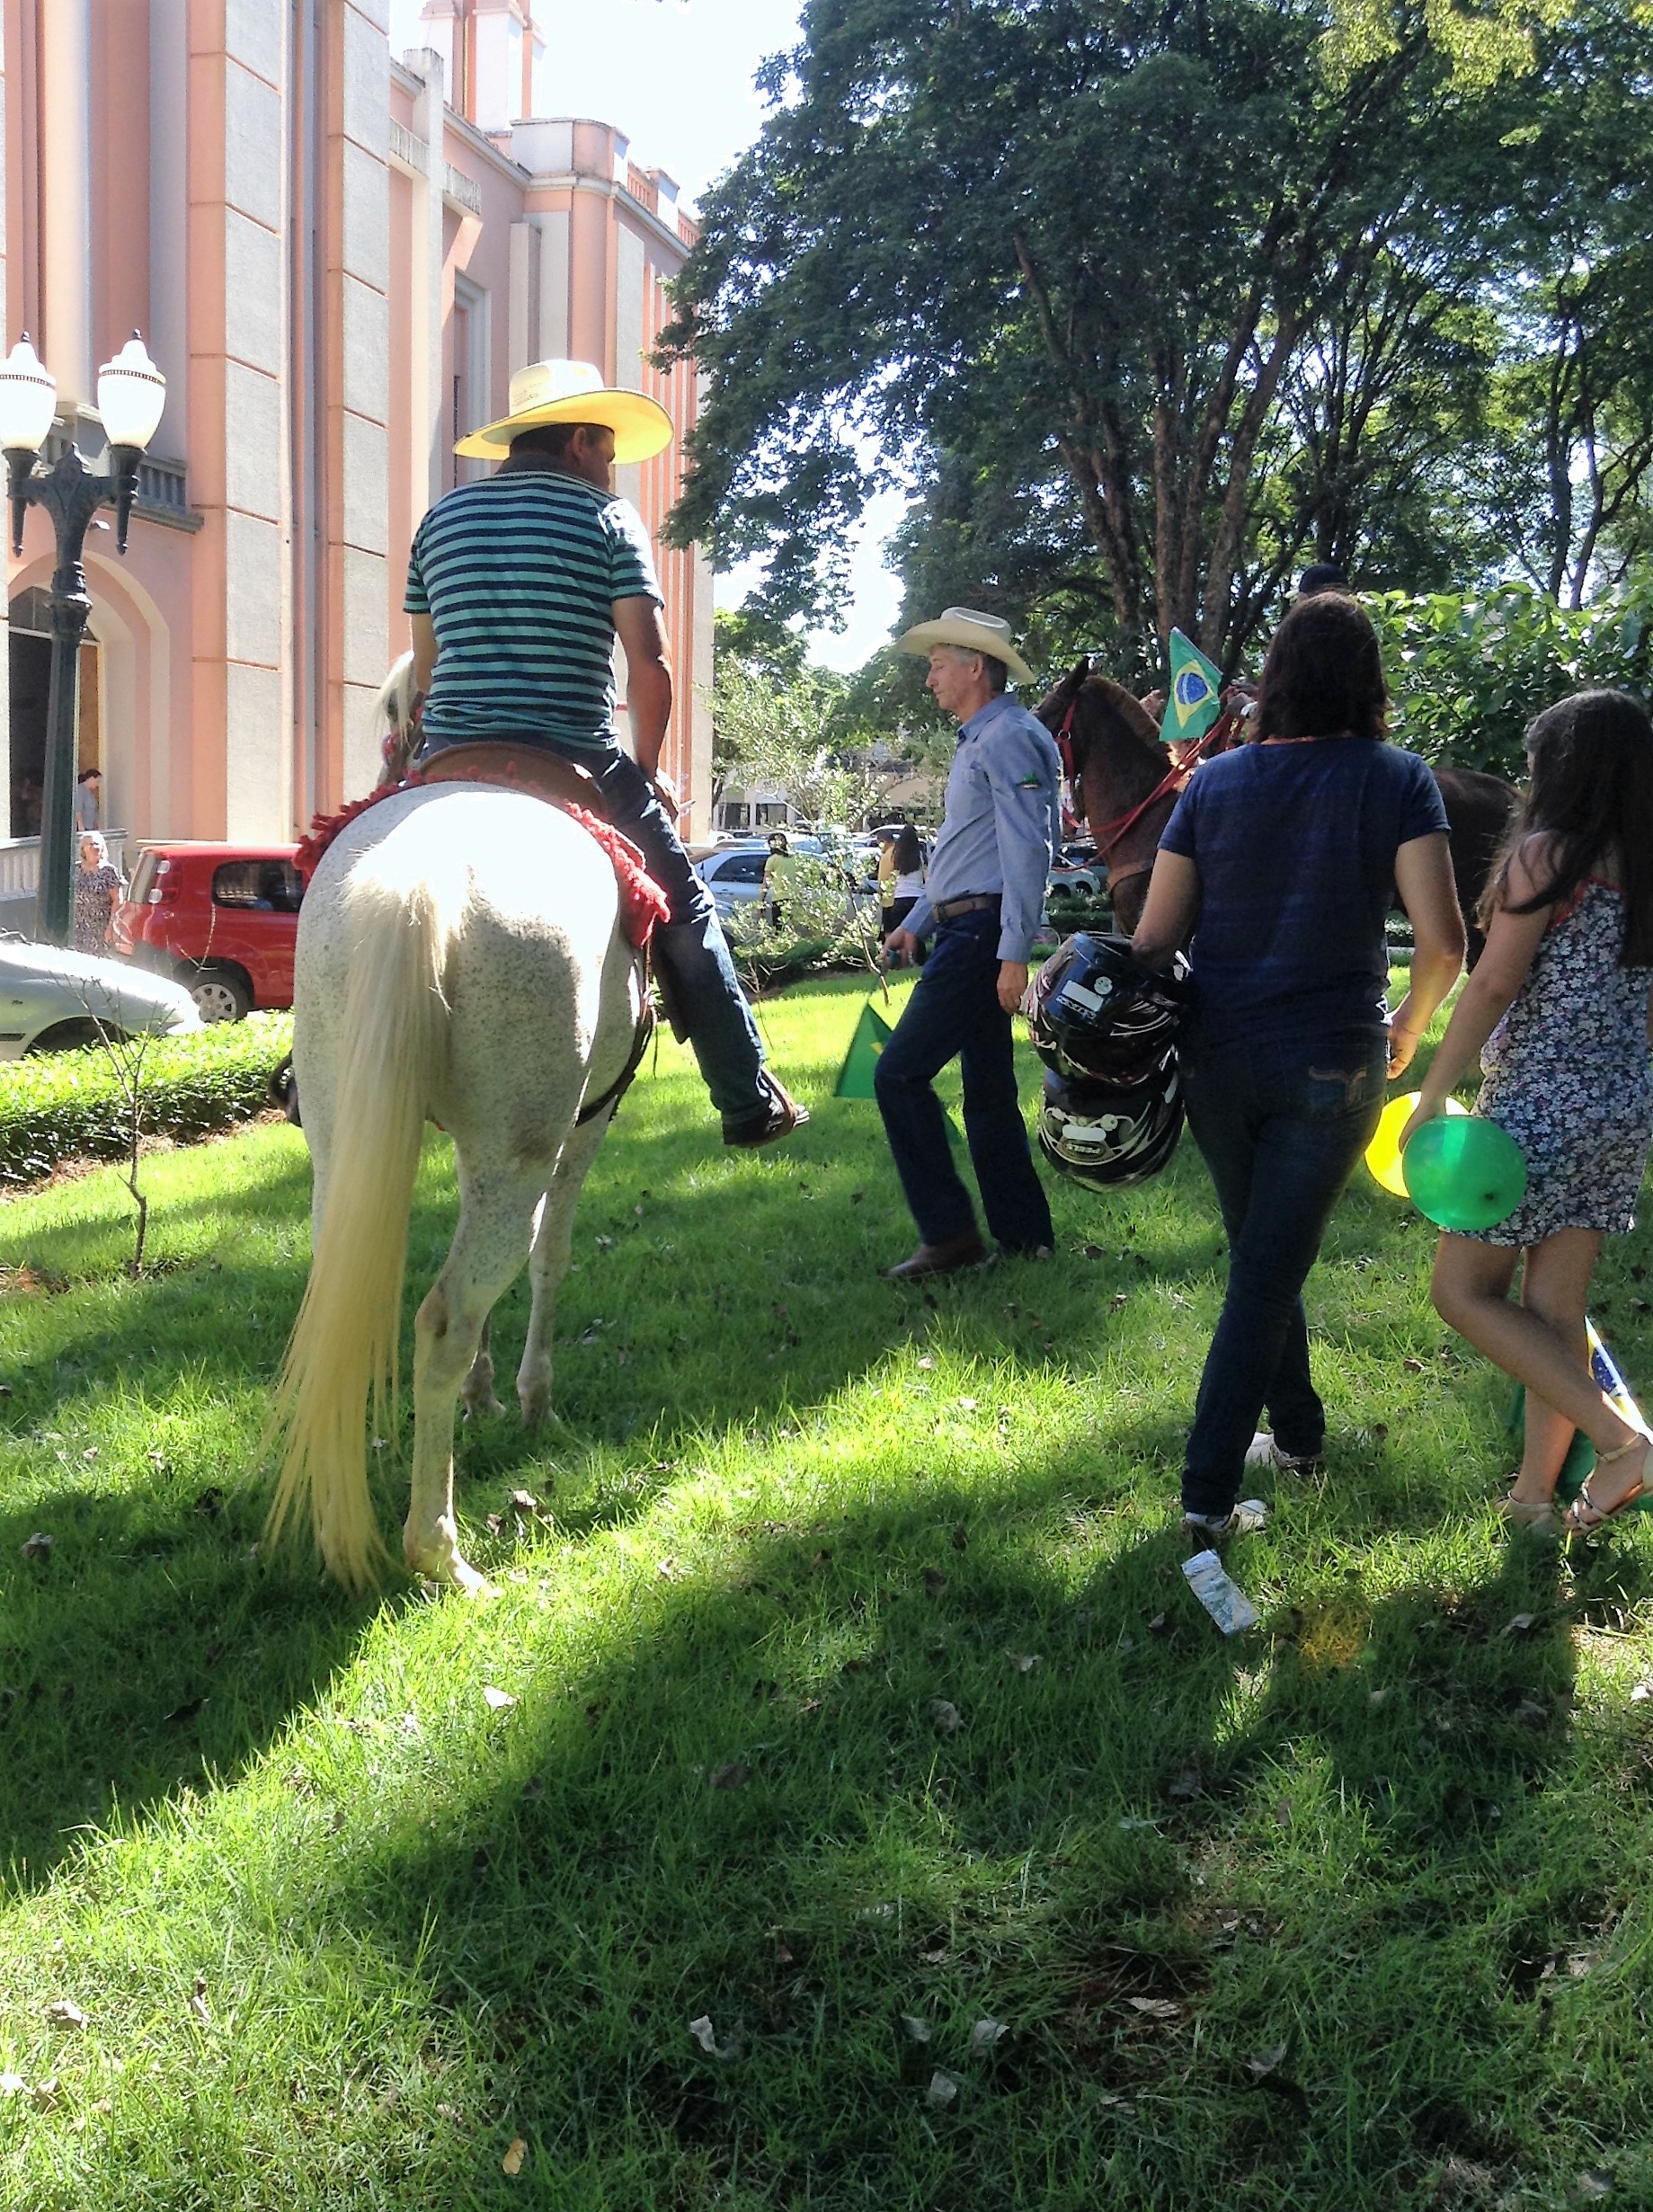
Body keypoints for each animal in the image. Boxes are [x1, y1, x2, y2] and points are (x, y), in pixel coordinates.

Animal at [265, 778, 648, 1594]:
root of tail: (417, 872)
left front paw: (484, 1395)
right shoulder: (586, 1127)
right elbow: (550, 1260)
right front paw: (532, 1401)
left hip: (343, 1141)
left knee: (340, 1296)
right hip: (521, 1156)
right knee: (446, 1317)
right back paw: (440, 1552)